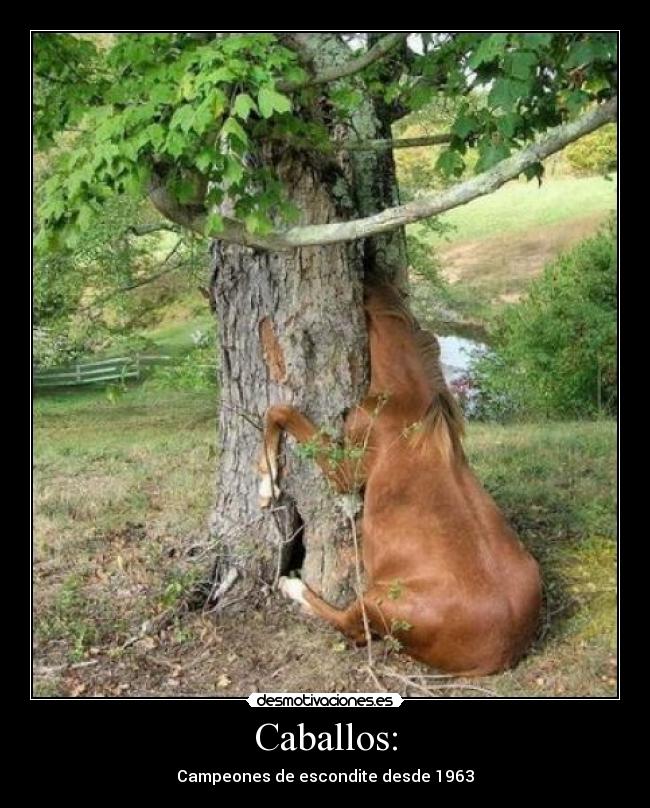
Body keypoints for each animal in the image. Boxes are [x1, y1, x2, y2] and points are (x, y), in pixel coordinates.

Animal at [257, 281, 542, 676]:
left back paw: (291, 585)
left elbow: (279, 411)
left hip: (377, 602)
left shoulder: (348, 474)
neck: (408, 400)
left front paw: (266, 485)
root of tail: (503, 651)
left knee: (351, 627)